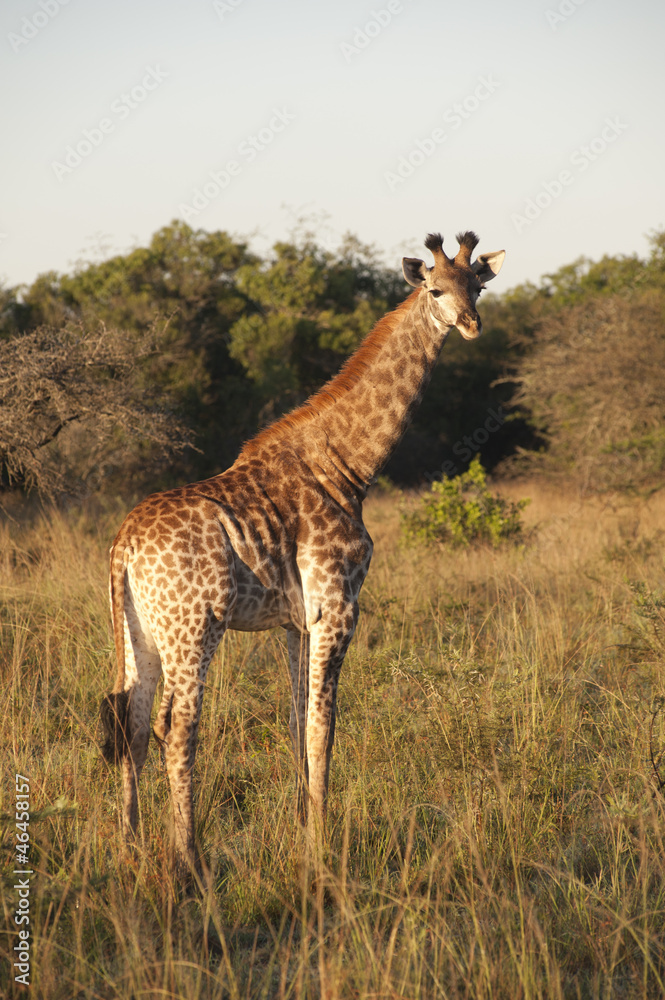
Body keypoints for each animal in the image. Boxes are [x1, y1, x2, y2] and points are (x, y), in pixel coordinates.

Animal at [100, 230, 505, 873]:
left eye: (479, 286)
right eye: (436, 290)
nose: (471, 324)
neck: (349, 467)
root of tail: (123, 545)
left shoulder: (295, 623)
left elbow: (296, 723)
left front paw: (299, 830)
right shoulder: (337, 608)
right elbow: (324, 725)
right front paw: (321, 845)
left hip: (140, 631)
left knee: (135, 723)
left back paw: (131, 847)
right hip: (194, 627)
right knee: (177, 725)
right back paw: (189, 858)